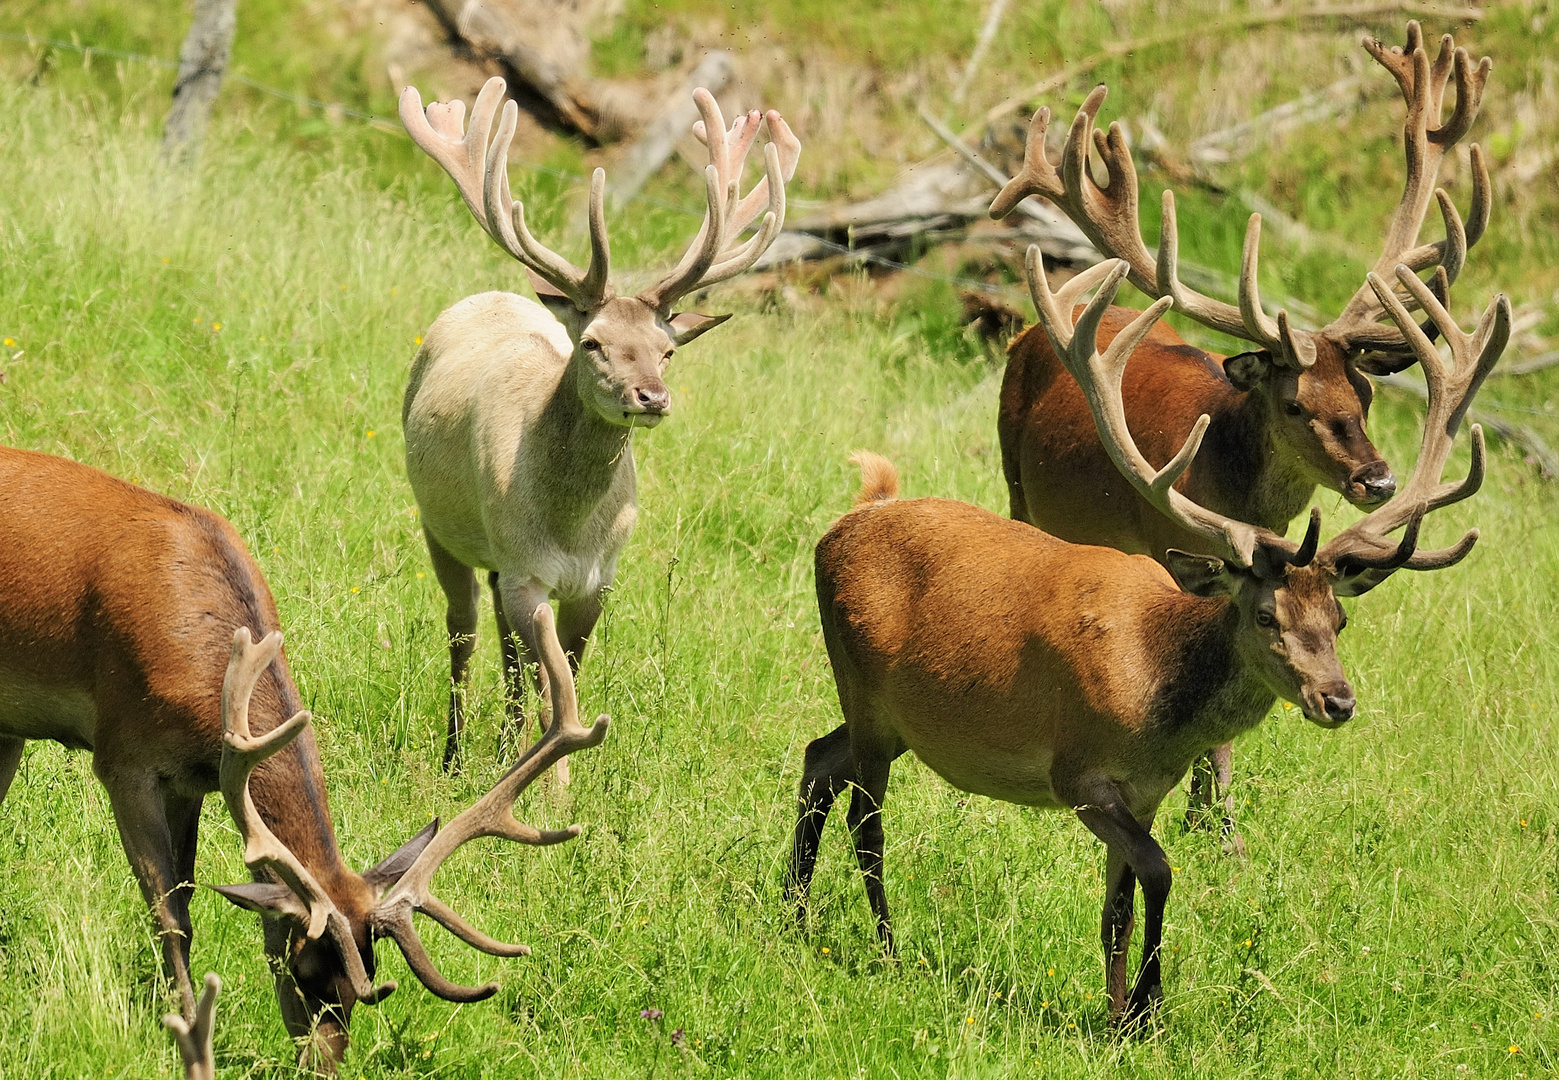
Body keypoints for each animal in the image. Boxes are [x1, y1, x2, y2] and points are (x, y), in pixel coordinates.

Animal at [0, 442, 608, 1065]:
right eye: (300, 968)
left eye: (366, 978)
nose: (325, 1066)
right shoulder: (124, 757)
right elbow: (170, 915)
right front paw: (186, 1026)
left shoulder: (192, 780)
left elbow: (187, 890)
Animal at [399, 79, 804, 769]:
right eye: (593, 343)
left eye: (668, 350)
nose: (652, 397)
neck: (568, 529)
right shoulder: (526, 570)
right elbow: (548, 682)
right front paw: (543, 777)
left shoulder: (597, 581)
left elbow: (564, 679)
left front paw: (542, 765)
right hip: (442, 527)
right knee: (464, 631)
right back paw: (453, 756)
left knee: (505, 652)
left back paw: (500, 747)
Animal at [791, 255, 1509, 1028]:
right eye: (1265, 615)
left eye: (1338, 621)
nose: (1337, 700)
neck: (1158, 700)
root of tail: (845, 522)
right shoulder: (1077, 775)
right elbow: (1159, 871)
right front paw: (1147, 1008)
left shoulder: (1145, 793)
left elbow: (1118, 909)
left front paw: (1115, 1017)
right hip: (864, 689)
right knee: (866, 819)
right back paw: (887, 948)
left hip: (888, 714)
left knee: (817, 758)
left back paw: (793, 915)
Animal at [991, 21, 1490, 847]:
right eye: (1295, 404)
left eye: (1363, 393)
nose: (1379, 478)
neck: (1237, 487)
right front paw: (1216, 829)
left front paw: (1214, 821)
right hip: (1015, 483)